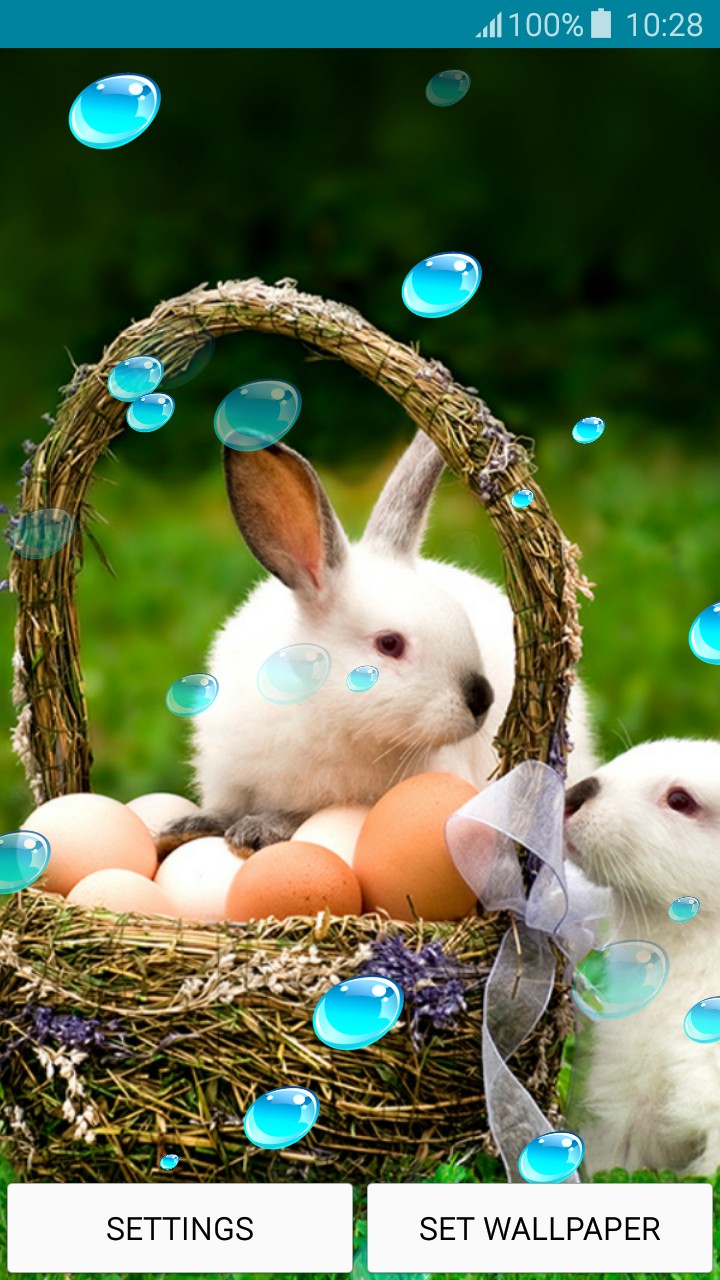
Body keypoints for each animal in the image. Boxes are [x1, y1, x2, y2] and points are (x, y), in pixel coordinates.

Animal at [162, 430, 597, 853]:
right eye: (389, 644)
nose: (481, 700)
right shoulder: (226, 774)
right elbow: (225, 807)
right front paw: (187, 826)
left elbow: (300, 816)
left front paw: (260, 829)